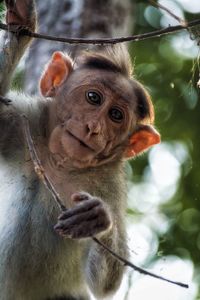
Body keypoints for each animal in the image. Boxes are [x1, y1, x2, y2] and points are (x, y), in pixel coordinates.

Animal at [0, 0, 160, 300]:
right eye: (93, 98)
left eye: (116, 115)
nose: (93, 127)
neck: (59, 163)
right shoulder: (19, 121)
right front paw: (21, 23)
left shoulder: (109, 186)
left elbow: (105, 285)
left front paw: (96, 218)